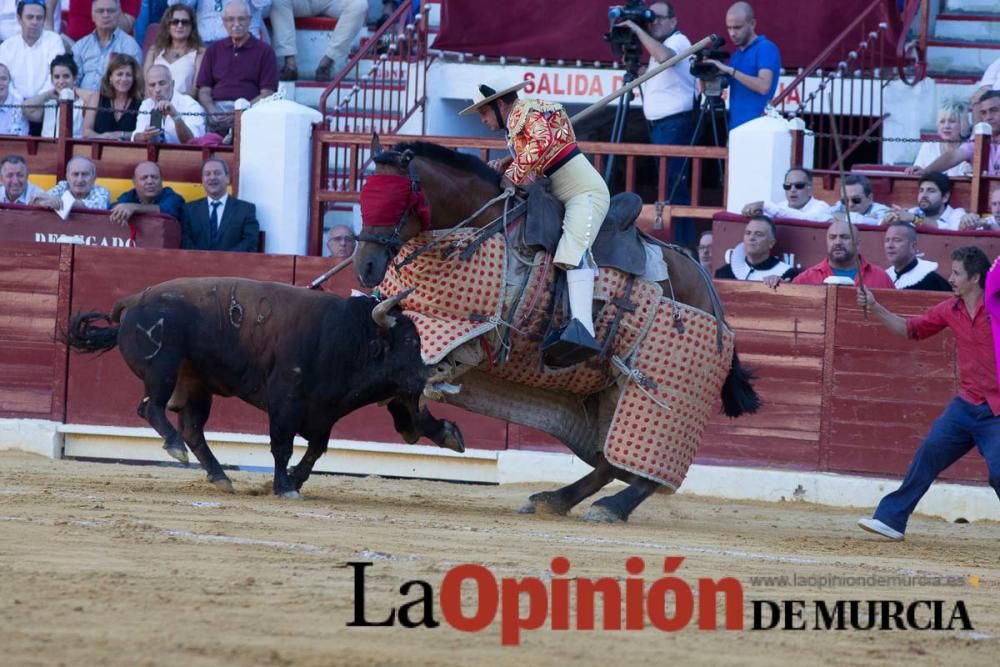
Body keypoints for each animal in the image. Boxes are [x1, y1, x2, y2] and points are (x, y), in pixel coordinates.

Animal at [66, 274, 464, 498]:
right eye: (410, 342)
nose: (441, 373)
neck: (349, 338)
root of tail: (134, 300)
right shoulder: (285, 399)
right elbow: (282, 446)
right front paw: (284, 487)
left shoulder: (324, 410)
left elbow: (316, 449)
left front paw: (294, 480)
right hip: (161, 369)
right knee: (152, 408)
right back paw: (176, 449)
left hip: (195, 386)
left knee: (193, 428)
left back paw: (220, 477)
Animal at [354, 137, 756, 520]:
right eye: (363, 195)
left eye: (397, 200)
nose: (365, 266)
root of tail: (711, 292)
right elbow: (402, 387)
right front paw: (439, 430)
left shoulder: (461, 335)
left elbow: (416, 387)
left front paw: (444, 431)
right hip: (610, 388)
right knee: (609, 461)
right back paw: (554, 499)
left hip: (655, 392)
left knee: (644, 468)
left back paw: (608, 507)